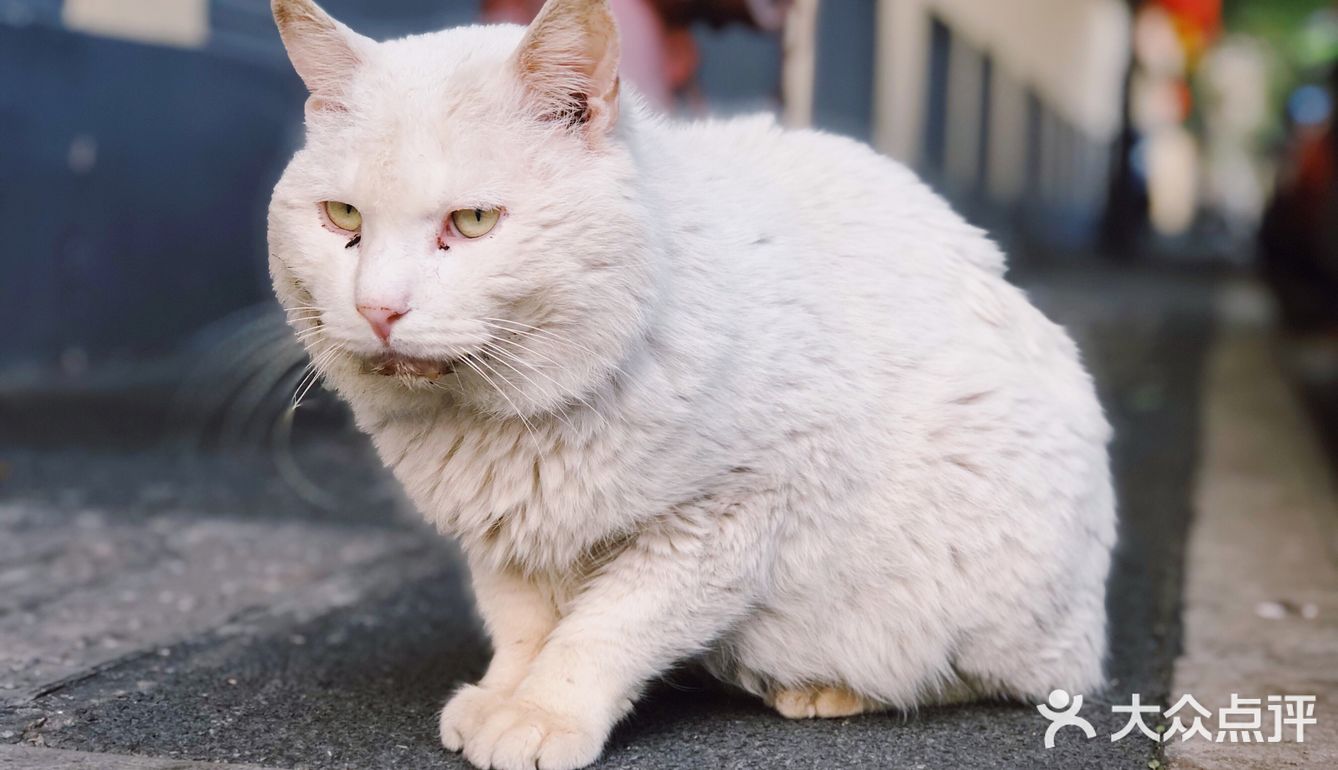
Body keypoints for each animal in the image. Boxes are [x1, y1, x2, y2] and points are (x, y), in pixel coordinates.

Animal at [266, 0, 1113, 765]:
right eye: (342, 216)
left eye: (474, 221)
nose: (378, 309)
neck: (506, 416)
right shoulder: (506, 539)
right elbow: (524, 626)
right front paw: (506, 693)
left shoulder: (726, 520)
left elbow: (603, 630)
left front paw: (540, 715)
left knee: (989, 675)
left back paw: (826, 689)